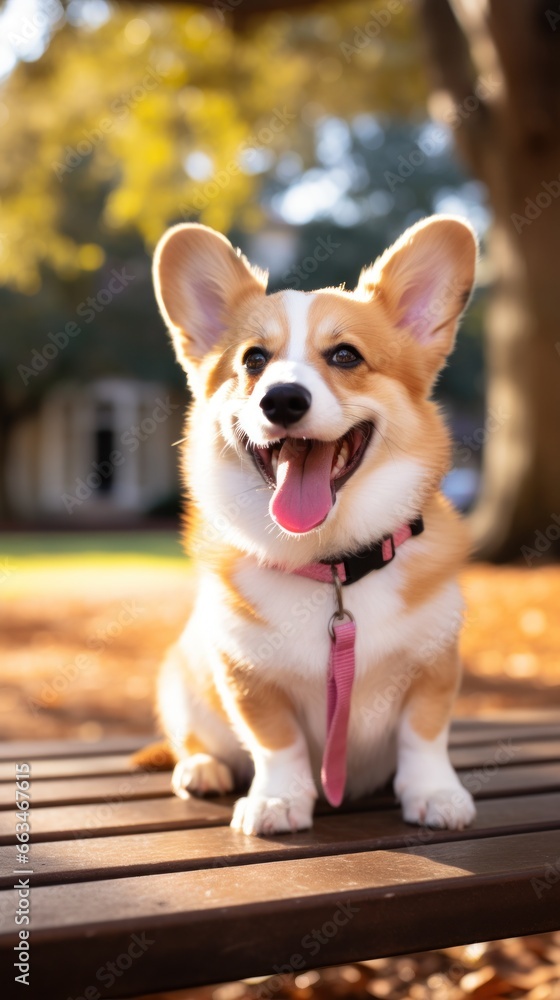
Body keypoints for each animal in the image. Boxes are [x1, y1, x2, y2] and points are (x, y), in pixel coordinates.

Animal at [138, 217, 480, 836]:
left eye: (345, 355)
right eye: (253, 360)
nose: (282, 400)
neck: (333, 562)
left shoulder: (434, 664)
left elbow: (424, 737)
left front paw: (435, 795)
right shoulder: (246, 675)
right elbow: (278, 744)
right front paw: (277, 800)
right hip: (182, 682)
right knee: (194, 741)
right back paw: (201, 768)